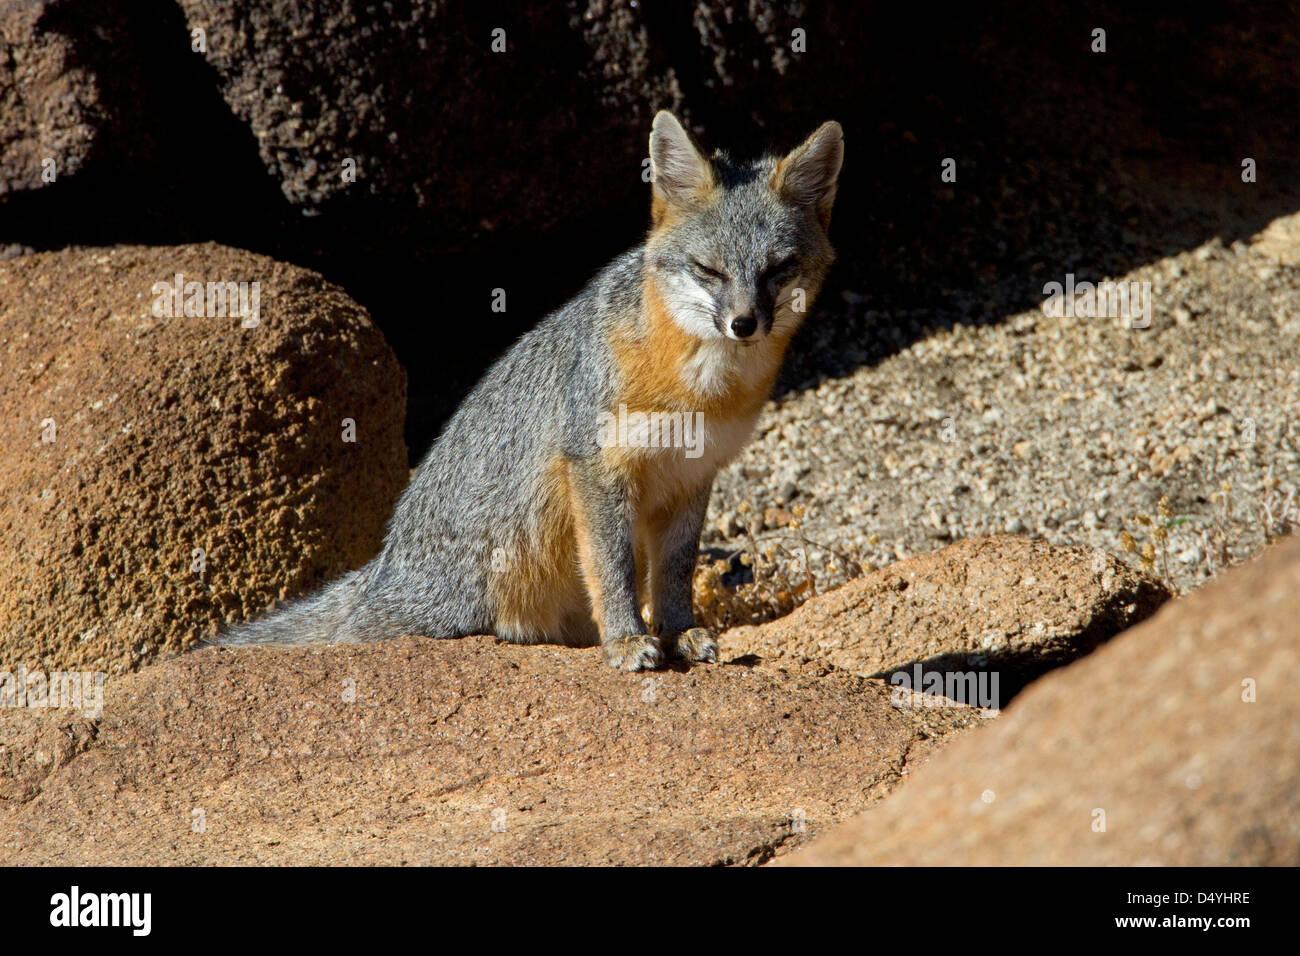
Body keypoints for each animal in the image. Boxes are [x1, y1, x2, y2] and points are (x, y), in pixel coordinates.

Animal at [218, 112, 843, 670]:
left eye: (778, 269)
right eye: (708, 270)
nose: (743, 323)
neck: (699, 393)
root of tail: (382, 567)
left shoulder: (692, 476)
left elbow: (674, 572)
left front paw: (678, 633)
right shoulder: (597, 466)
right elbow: (612, 567)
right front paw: (626, 641)